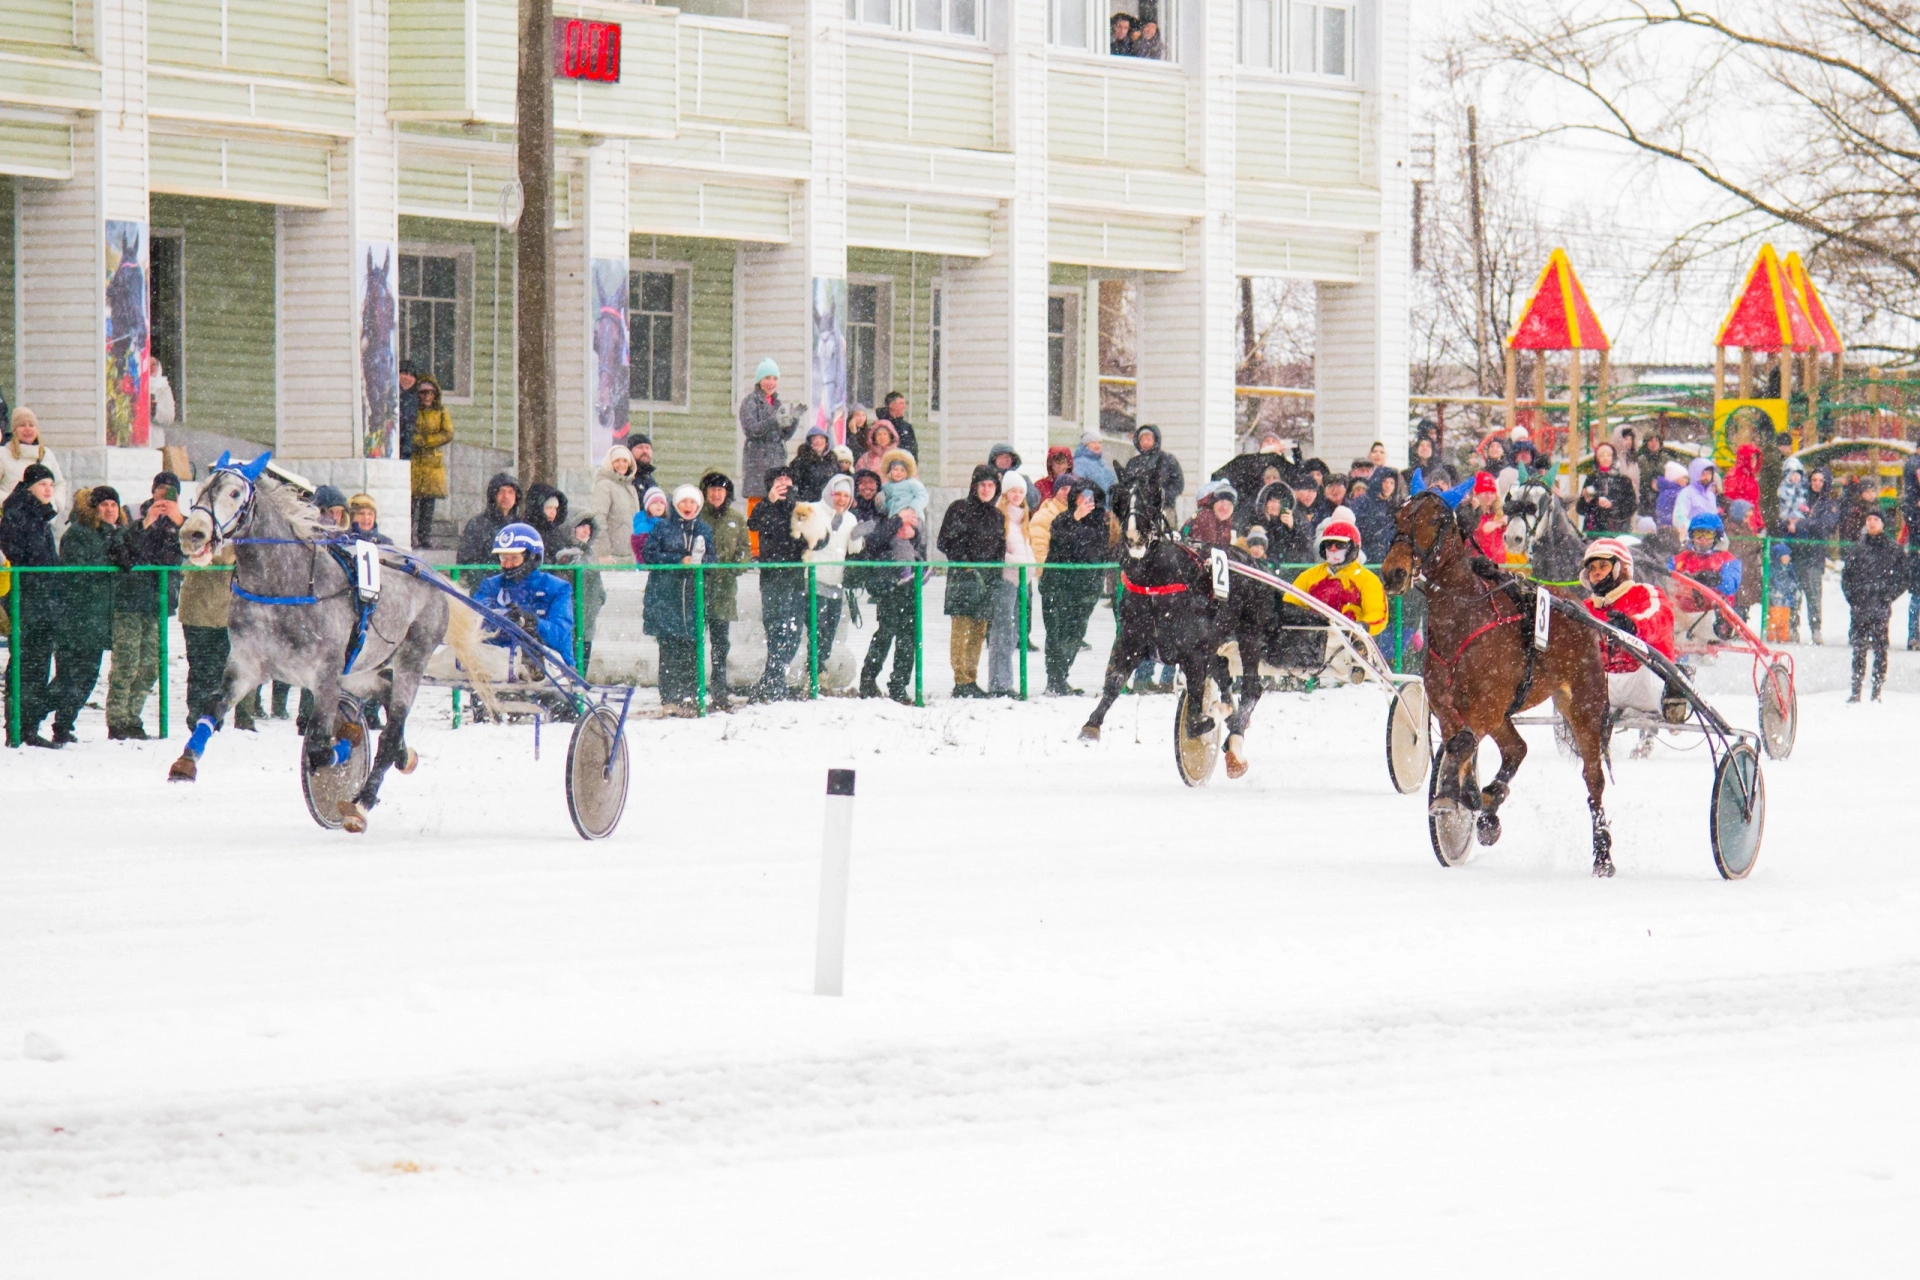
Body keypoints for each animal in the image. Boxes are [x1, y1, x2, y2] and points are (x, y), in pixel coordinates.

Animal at [168, 454, 491, 836]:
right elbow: (214, 706)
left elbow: (322, 748)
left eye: (234, 493)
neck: (286, 585)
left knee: (390, 730)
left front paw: (348, 742)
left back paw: (361, 803)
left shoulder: (325, 675)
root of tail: (428, 572)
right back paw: (404, 756)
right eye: (201, 490)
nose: (193, 534)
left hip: (412, 657)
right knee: (386, 699)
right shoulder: (247, 664)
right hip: (361, 671)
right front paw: (185, 763)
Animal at [1082, 475, 1274, 775]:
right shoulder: (1129, 642)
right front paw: (1091, 726)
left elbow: (1196, 720)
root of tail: (1258, 563)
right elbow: (1113, 683)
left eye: (1154, 496)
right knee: (1223, 671)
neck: (1157, 584)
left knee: (1253, 688)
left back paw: (1234, 745)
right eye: (1119, 497)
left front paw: (1210, 719)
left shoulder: (1193, 654)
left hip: (1250, 636)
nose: (1134, 535)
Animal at [1382, 495, 1620, 882]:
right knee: (1516, 749)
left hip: (1583, 702)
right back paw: (1490, 804)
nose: (1394, 572)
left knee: (1593, 778)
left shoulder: (1486, 706)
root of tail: (1578, 606)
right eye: (1398, 517)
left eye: (1434, 519)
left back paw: (1602, 856)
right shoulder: (1447, 707)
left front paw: (1453, 796)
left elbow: (1461, 745)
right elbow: (1459, 746)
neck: (1461, 619)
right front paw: (1472, 800)